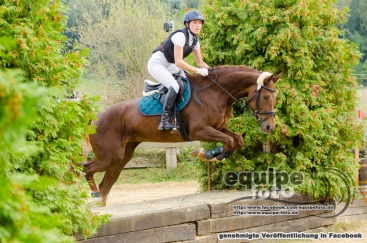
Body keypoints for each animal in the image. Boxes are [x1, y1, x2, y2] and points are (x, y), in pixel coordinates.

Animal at [83, 65, 282, 205]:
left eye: (275, 98)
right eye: (265, 97)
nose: (269, 127)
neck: (215, 92)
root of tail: (95, 118)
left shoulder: (218, 127)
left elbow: (236, 140)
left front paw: (211, 154)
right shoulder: (199, 130)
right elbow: (229, 141)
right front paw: (206, 154)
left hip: (122, 156)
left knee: (106, 183)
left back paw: (99, 200)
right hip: (110, 156)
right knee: (86, 169)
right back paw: (94, 194)